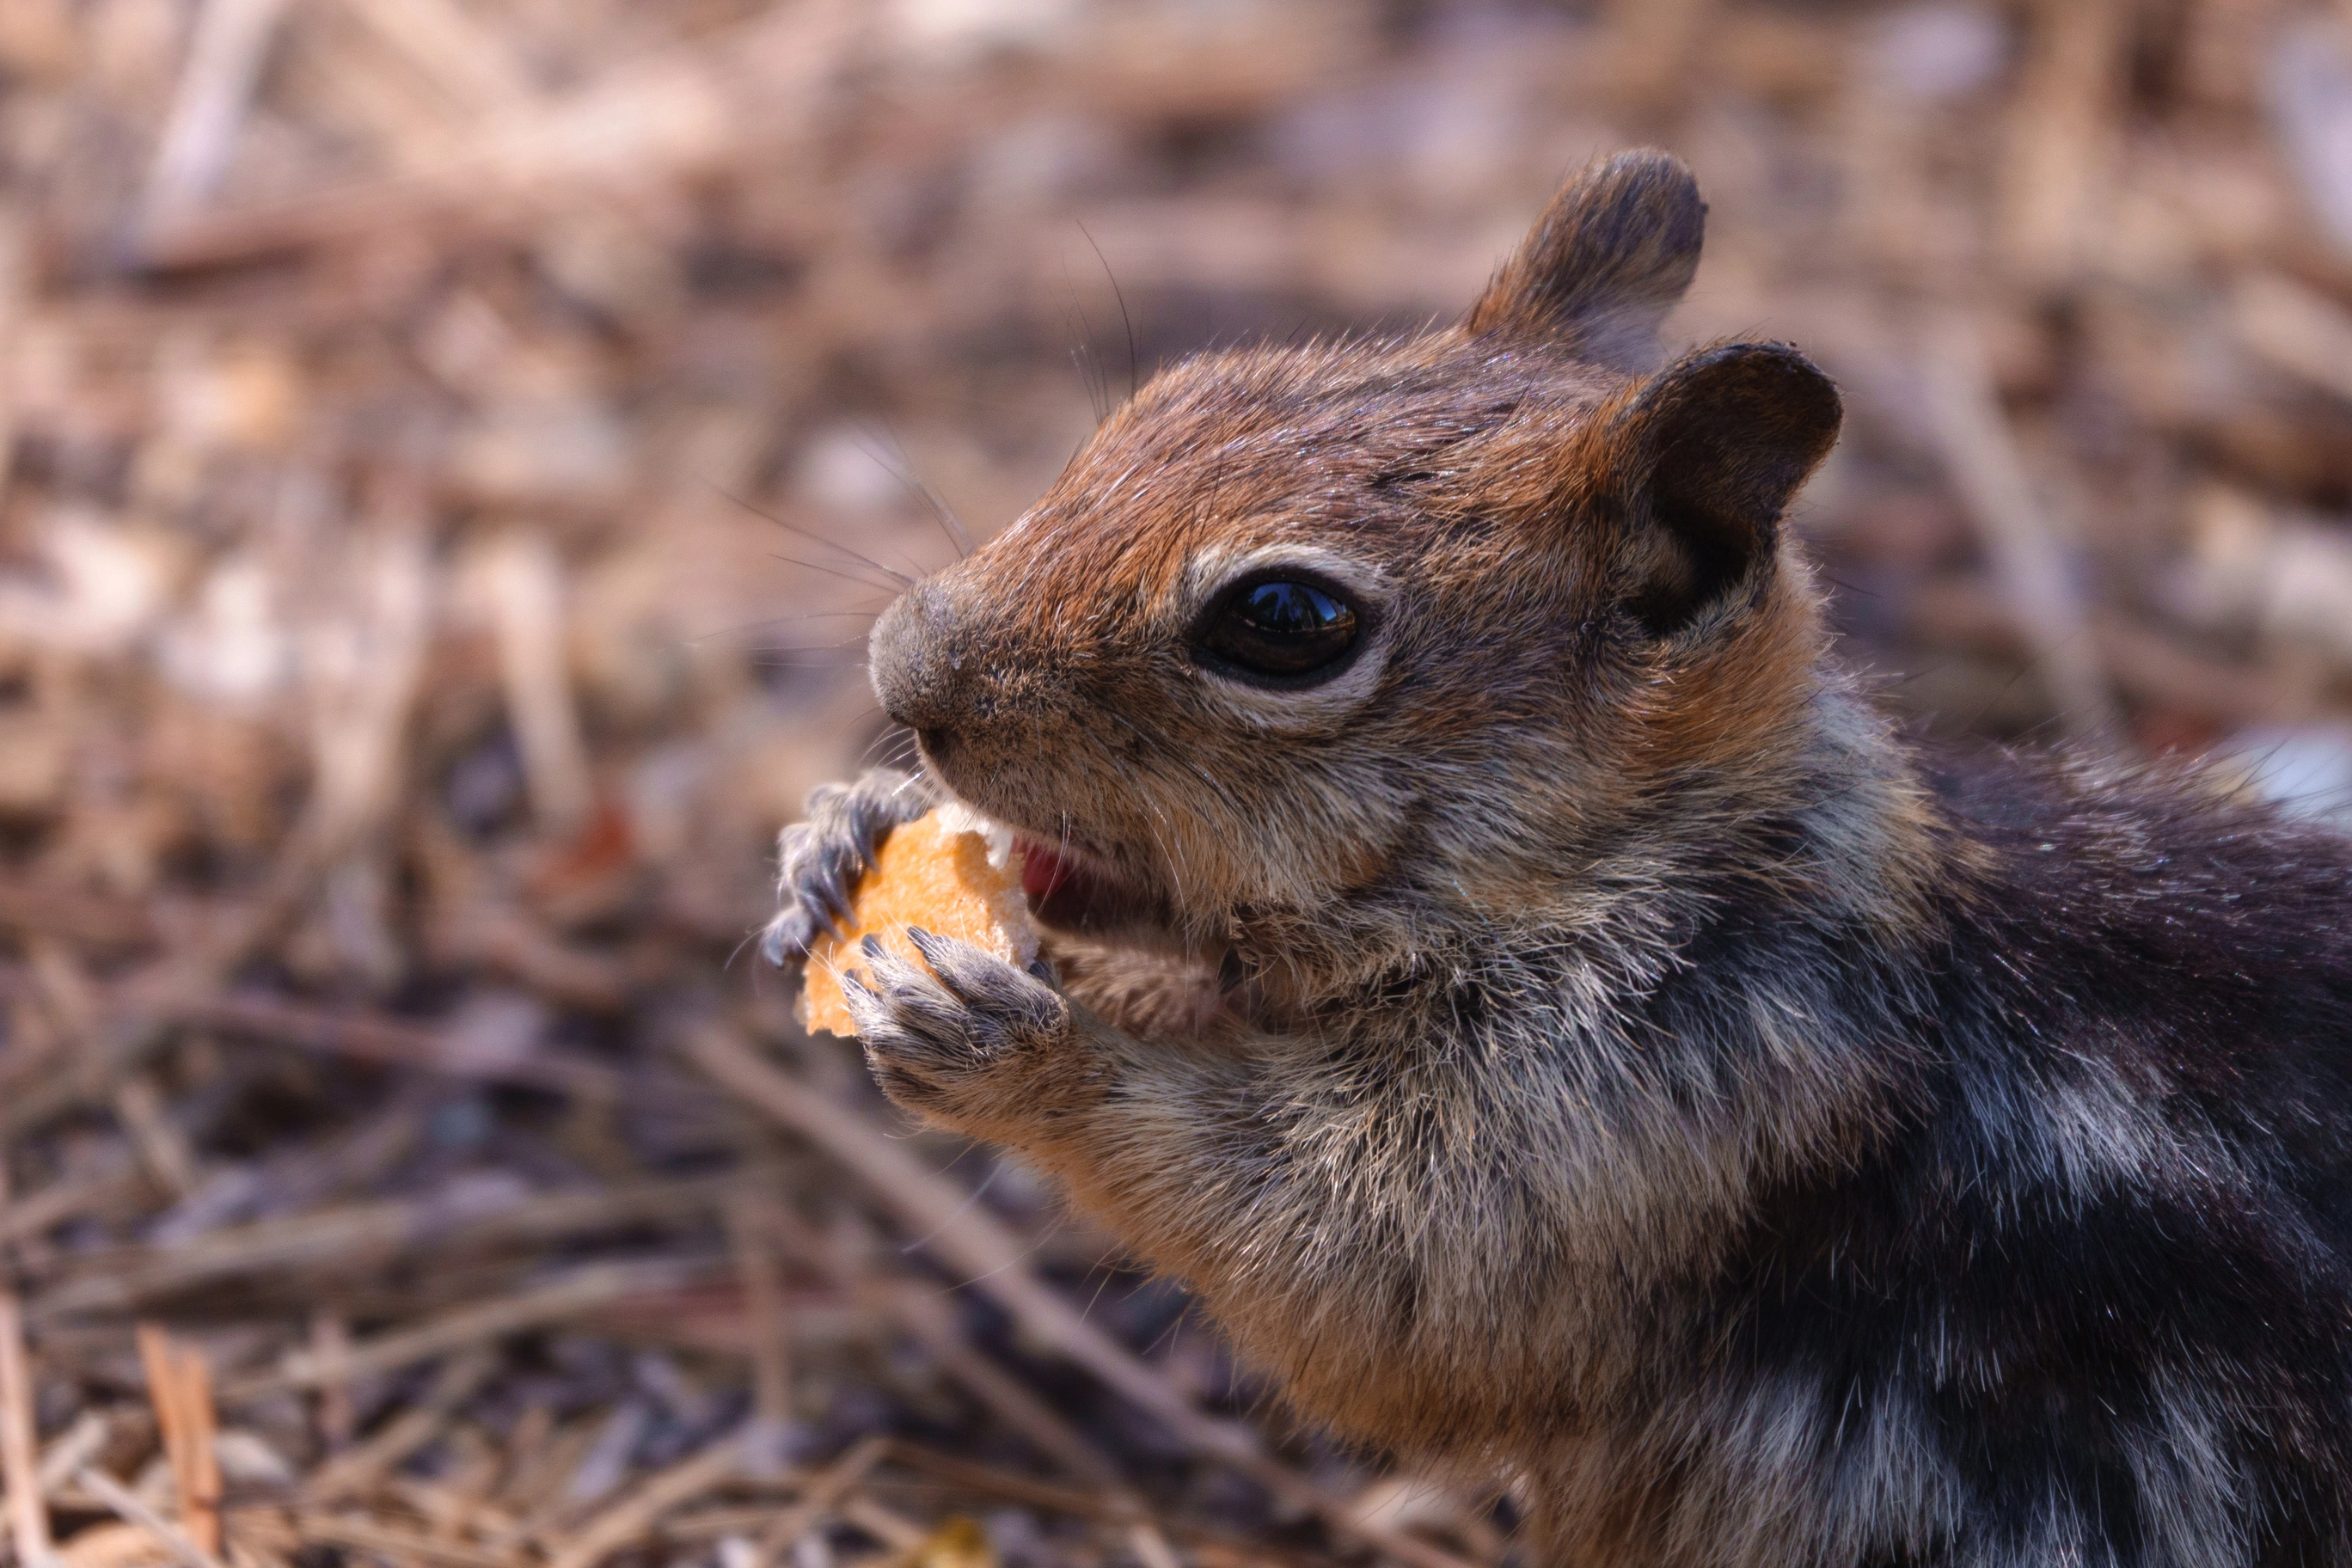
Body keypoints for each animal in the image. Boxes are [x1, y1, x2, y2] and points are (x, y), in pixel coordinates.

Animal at [762, 150, 2352, 1568]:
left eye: (1285, 621)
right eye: (1174, 396)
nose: (901, 666)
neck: (1665, 865)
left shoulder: (1678, 1101)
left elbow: (1368, 1280)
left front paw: (1010, 1045)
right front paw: (832, 844)